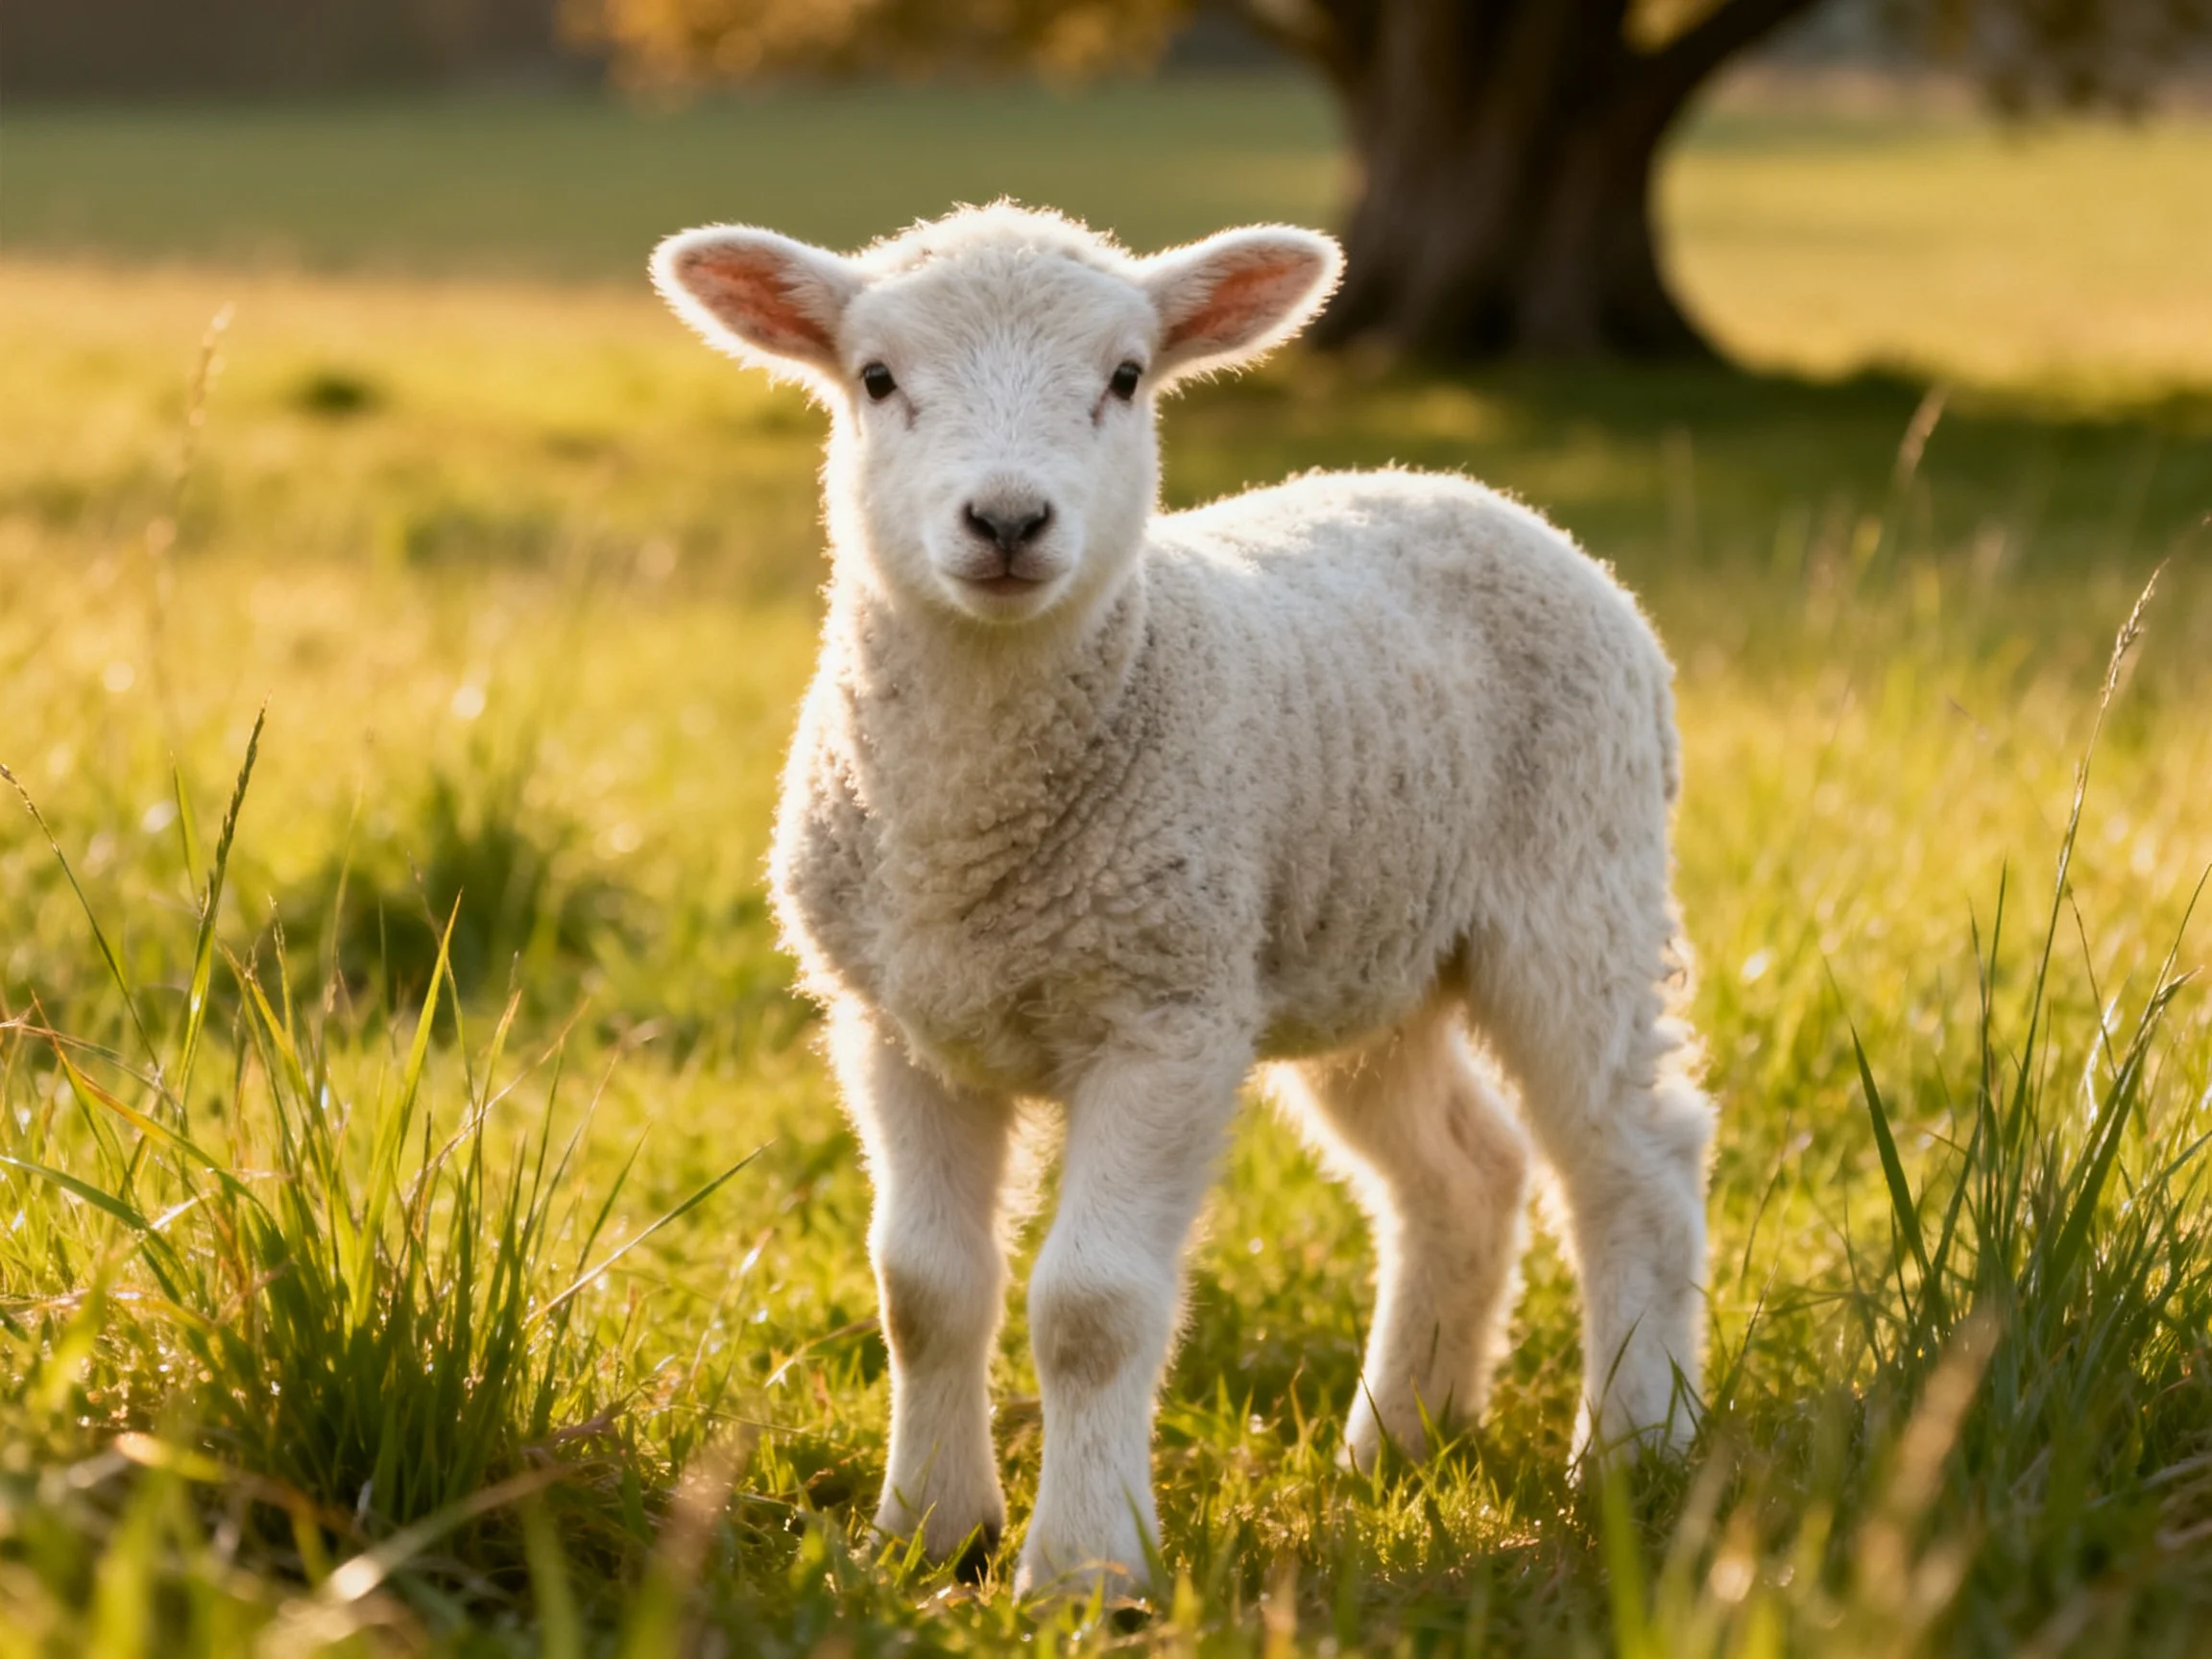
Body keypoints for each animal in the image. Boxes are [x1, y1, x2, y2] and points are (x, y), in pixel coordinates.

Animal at [651, 202, 1714, 1598]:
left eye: (1125, 376)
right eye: (876, 379)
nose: (1008, 519)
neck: (969, 842)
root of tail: (1473, 492)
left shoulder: (1164, 1017)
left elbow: (1092, 1308)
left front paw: (1083, 1572)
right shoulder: (895, 1025)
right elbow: (923, 1289)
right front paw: (931, 1535)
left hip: (1576, 884)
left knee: (1633, 1158)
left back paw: (1638, 1450)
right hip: (1361, 946)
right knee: (1463, 1170)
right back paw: (1398, 1444)